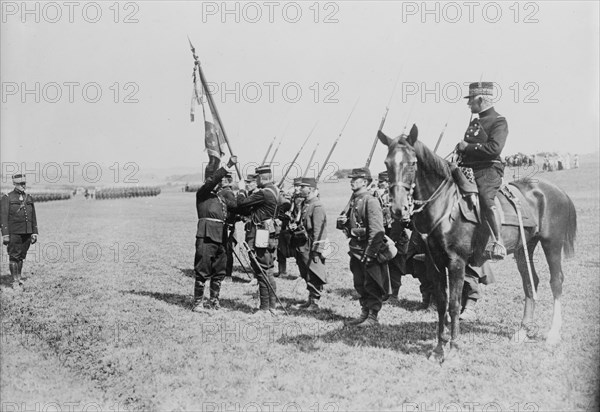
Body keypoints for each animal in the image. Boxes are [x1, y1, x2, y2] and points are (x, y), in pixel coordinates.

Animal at [380, 125, 576, 364]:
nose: (398, 209)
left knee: (556, 282)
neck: (445, 204)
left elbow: (454, 305)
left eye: (411, 163)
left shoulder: (456, 262)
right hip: (525, 247)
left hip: (552, 244)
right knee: (531, 283)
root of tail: (556, 191)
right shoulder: (434, 263)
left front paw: (453, 348)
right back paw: (522, 331)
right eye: (387, 163)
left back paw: (553, 334)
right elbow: (442, 303)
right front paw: (438, 349)